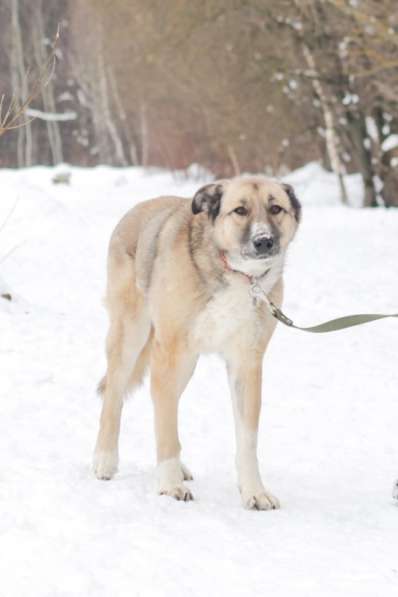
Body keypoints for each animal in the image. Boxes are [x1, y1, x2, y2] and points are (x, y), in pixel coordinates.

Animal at [92, 175, 298, 510]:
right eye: (240, 210)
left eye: (276, 208)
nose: (264, 241)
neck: (237, 275)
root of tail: (140, 207)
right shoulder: (169, 352)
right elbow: (165, 425)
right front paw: (169, 485)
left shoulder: (246, 364)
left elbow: (247, 439)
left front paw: (254, 491)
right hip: (132, 338)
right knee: (115, 398)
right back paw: (105, 460)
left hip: (185, 365)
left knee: (164, 406)